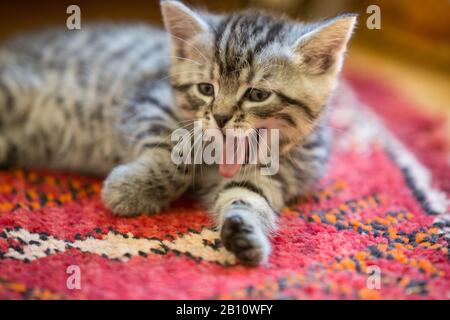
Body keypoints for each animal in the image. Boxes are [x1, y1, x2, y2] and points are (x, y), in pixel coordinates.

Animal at [0, 0, 356, 264]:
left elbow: (248, 197)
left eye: (257, 94)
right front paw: (129, 190)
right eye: (205, 89)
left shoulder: (274, 176)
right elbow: (178, 157)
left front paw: (245, 232)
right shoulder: (150, 102)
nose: (221, 117)